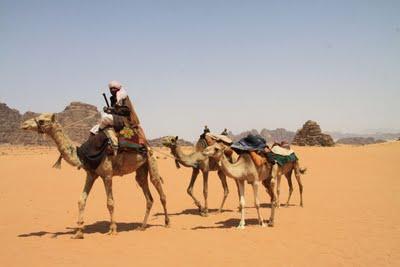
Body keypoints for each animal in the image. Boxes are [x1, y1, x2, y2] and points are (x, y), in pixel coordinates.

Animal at [21, 114, 170, 240]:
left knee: (160, 191)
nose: (24, 124)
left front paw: (113, 230)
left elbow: (110, 203)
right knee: (147, 194)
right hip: (141, 169)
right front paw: (78, 232)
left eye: (42, 120)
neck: (82, 154)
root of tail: (147, 145)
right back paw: (142, 226)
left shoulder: (107, 175)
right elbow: (81, 200)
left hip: (151, 161)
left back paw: (167, 222)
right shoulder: (91, 174)